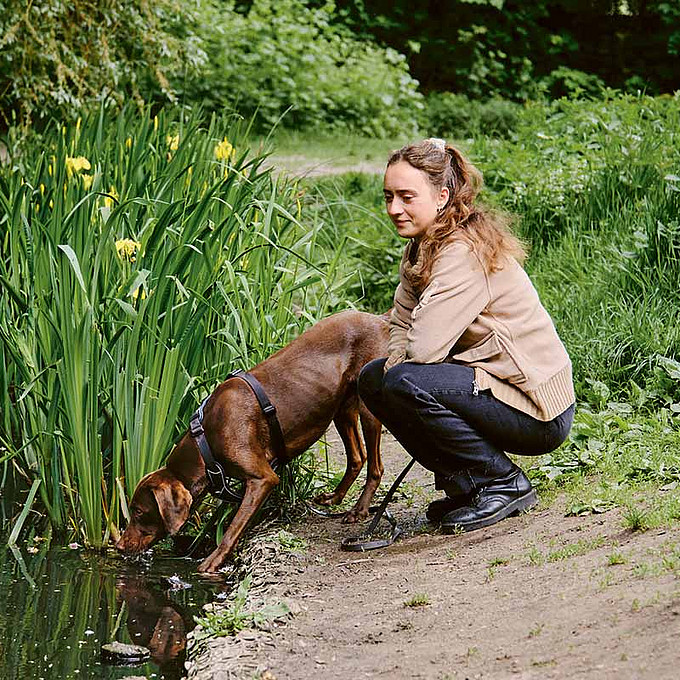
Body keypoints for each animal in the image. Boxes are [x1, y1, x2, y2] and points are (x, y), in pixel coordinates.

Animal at [117, 310, 388, 572]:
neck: (205, 444)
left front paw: (212, 562)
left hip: (368, 407)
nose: (118, 546)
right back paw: (335, 498)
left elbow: (232, 530)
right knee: (357, 457)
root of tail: (380, 319)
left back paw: (359, 510)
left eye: (138, 511)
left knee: (376, 467)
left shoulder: (262, 479)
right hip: (341, 408)